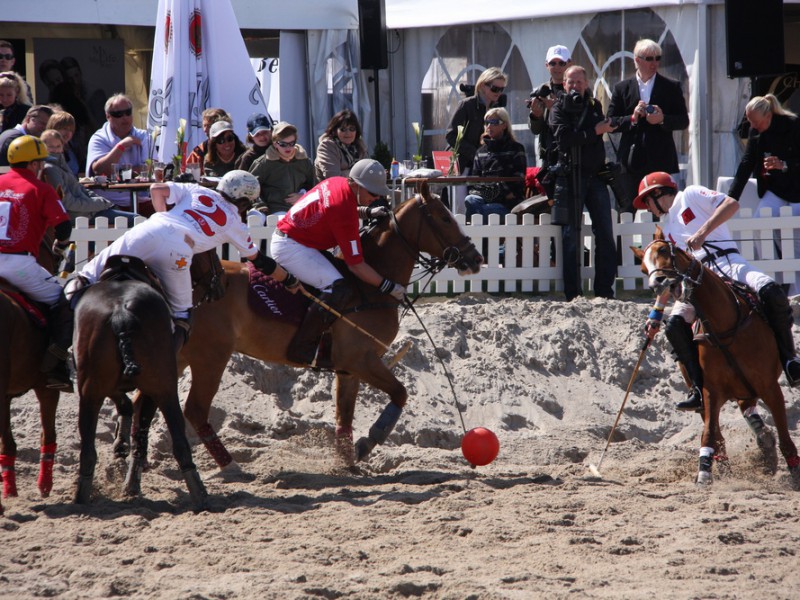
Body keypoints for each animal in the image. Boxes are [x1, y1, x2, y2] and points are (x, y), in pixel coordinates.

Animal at [72, 256, 207, 510]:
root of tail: (120, 313)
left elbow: (125, 405)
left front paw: (120, 443)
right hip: (164, 387)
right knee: (179, 443)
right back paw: (198, 494)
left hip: (90, 392)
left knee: (87, 451)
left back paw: (82, 496)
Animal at [177, 185, 483, 472]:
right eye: (444, 218)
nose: (477, 259)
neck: (371, 288)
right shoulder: (360, 360)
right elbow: (400, 393)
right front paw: (366, 443)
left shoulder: (348, 369)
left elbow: (344, 417)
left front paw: (346, 462)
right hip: (211, 357)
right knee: (195, 409)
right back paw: (230, 465)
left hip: (183, 354)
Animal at [633, 232, 800, 487]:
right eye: (643, 268)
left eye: (663, 250)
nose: (657, 283)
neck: (725, 325)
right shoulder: (710, 391)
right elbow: (709, 433)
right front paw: (704, 472)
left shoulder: (770, 387)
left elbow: (784, 433)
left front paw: (794, 470)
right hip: (704, 391)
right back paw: (728, 462)